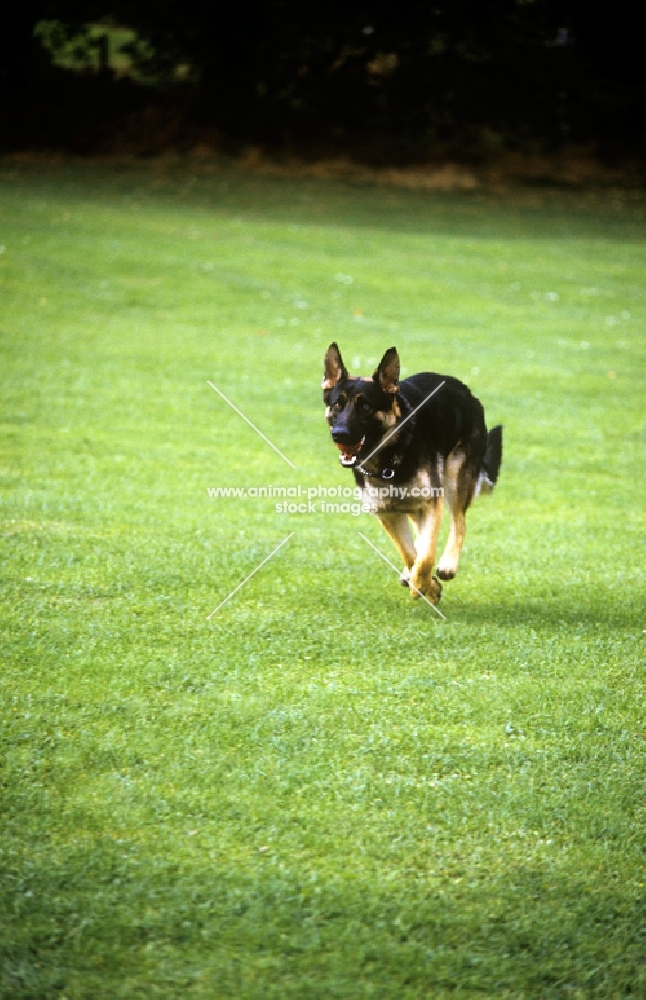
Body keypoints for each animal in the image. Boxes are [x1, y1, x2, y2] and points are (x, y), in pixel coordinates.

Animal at [326, 344, 504, 604]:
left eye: (366, 406)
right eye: (337, 404)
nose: (340, 434)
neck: (389, 459)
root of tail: (464, 390)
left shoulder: (430, 502)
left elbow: (426, 555)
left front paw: (423, 585)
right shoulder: (387, 513)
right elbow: (410, 553)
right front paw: (426, 584)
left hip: (455, 480)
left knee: (459, 524)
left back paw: (448, 565)